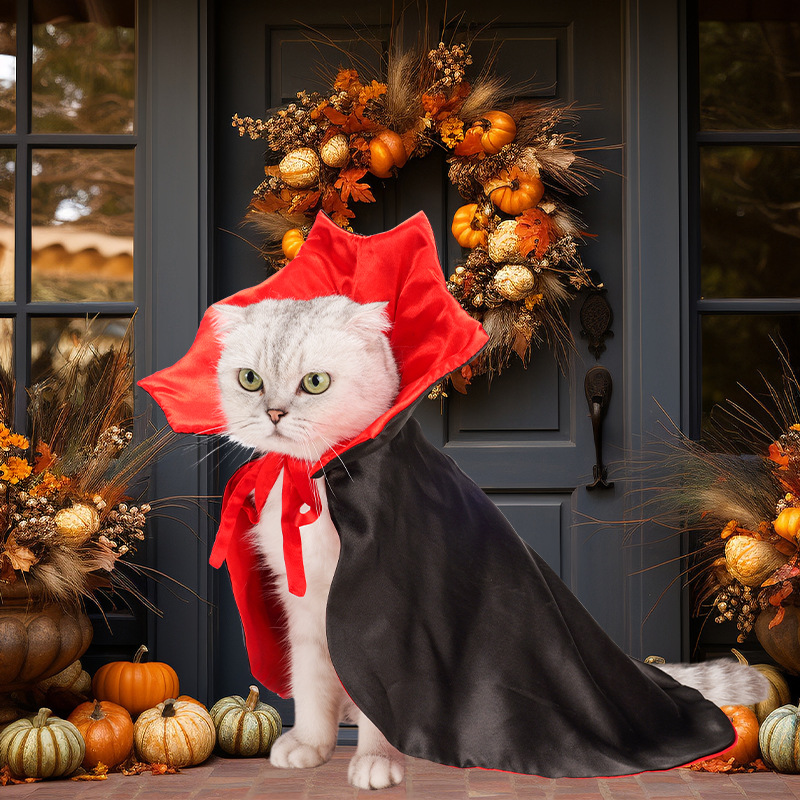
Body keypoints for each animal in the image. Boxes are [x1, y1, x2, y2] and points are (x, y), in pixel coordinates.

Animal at [212, 292, 768, 788]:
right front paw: (311, 745)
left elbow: (382, 703)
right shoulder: (302, 608)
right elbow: (309, 680)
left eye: (315, 382)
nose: (274, 413)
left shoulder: (385, 615)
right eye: (250, 380)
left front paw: (376, 762)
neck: (319, 479)